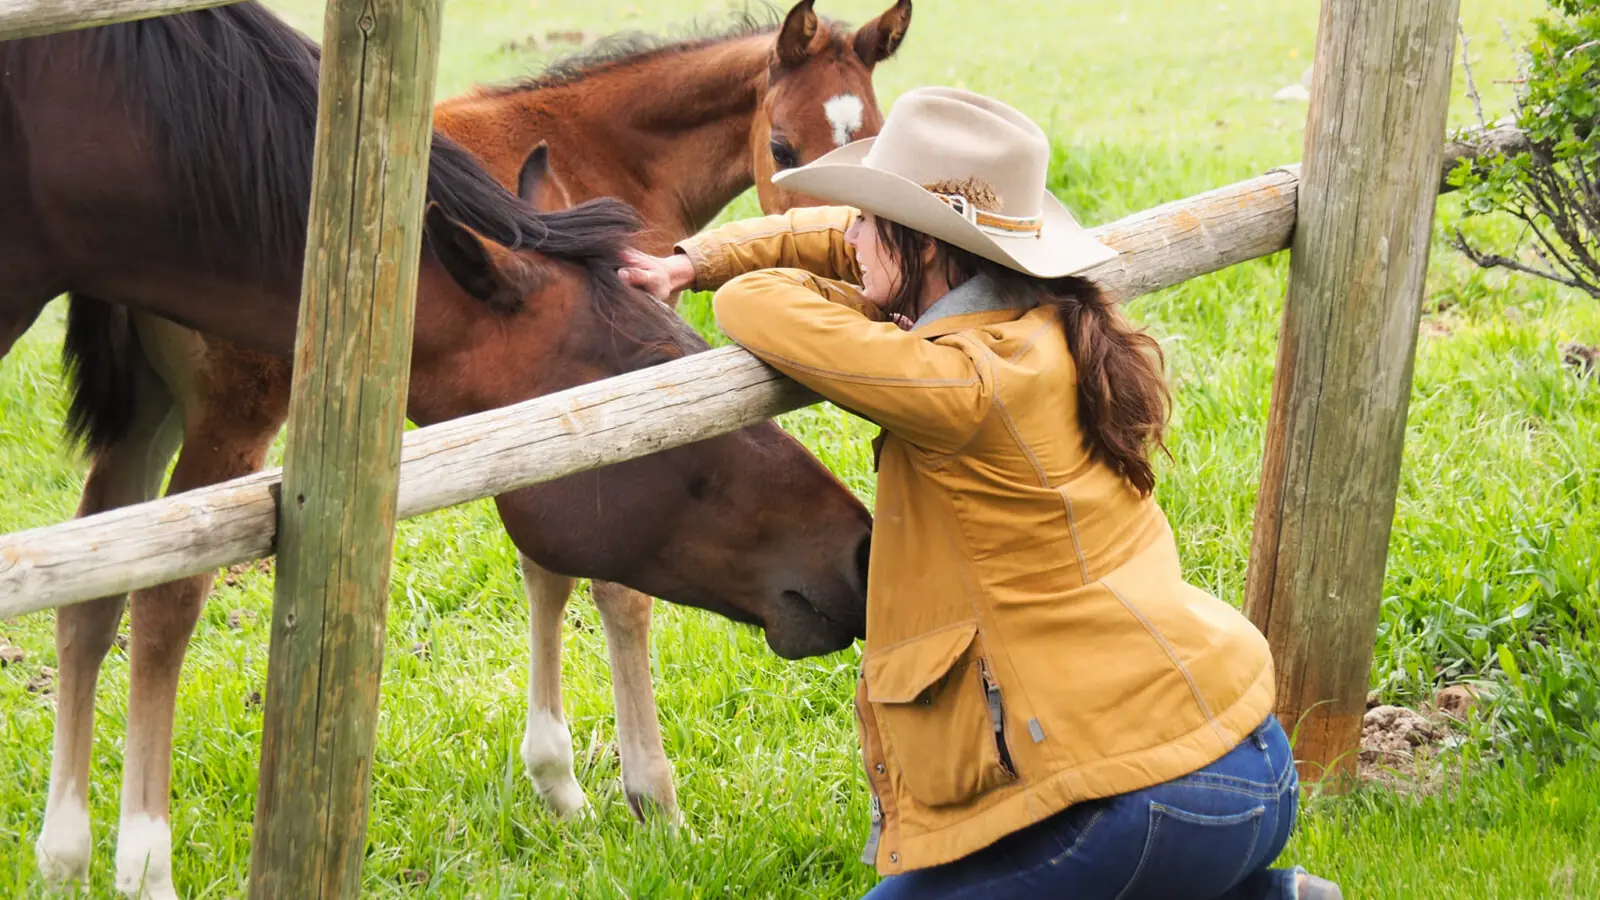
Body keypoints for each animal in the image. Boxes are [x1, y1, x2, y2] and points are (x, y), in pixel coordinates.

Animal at [0, 5, 873, 897]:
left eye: (871, 127)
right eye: (783, 146)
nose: (854, 552)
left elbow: (547, 572)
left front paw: (559, 782)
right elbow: (614, 594)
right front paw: (650, 798)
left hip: (152, 413)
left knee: (94, 592)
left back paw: (64, 854)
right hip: (229, 422)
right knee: (164, 602)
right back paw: (145, 861)